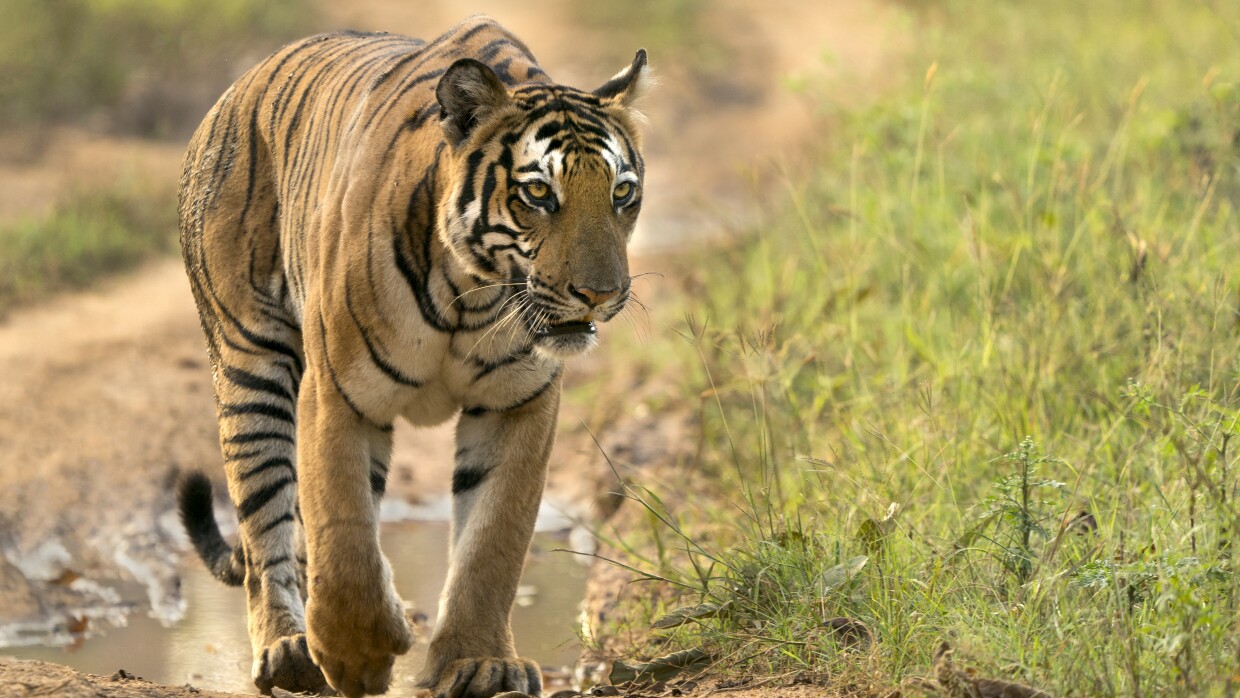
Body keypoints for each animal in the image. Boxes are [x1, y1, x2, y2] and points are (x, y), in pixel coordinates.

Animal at [173, 15, 649, 698]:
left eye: (622, 193)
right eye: (538, 193)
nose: (602, 294)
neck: (473, 295)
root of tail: (234, 92)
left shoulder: (518, 405)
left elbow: (492, 543)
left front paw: (479, 663)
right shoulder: (338, 395)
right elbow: (342, 536)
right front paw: (356, 657)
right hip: (249, 364)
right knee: (267, 525)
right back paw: (288, 650)